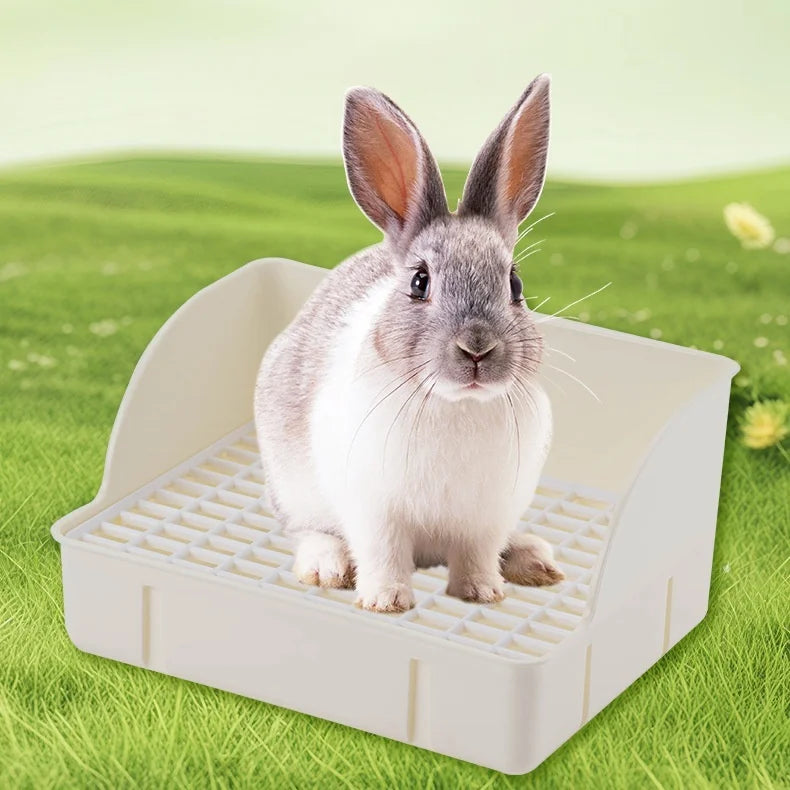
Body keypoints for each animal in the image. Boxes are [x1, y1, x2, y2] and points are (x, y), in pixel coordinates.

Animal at [255, 74, 563, 612]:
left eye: (515, 284)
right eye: (420, 282)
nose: (477, 349)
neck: (456, 404)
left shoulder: (486, 517)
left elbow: (477, 555)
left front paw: (482, 594)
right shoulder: (374, 511)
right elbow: (382, 554)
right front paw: (385, 601)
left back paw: (534, 562)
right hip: (293, 490)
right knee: (308, 531)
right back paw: (326, 567)